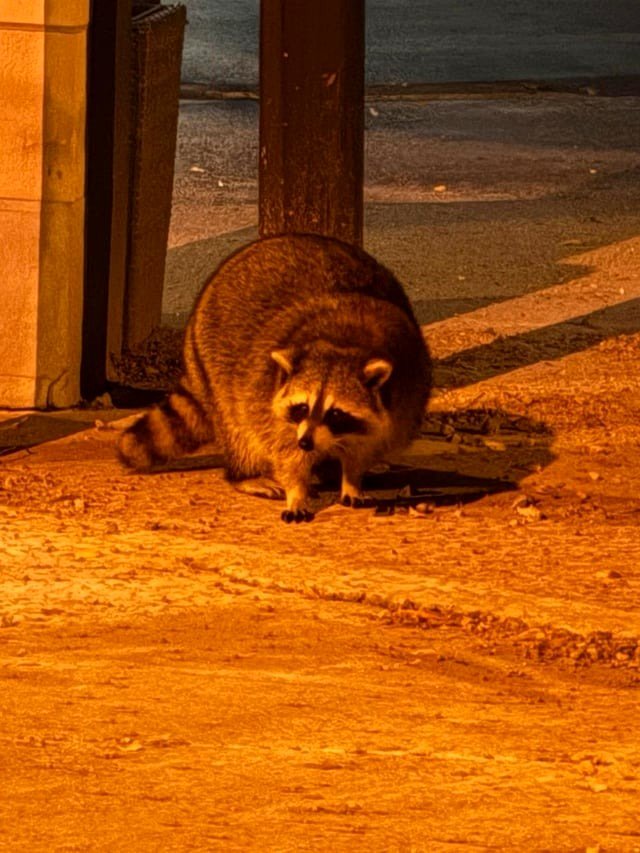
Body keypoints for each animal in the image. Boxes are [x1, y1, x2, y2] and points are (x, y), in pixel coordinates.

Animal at [117, 234, 432, 522]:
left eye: (336, 413)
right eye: (302, 407)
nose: (306, 442)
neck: (344, 343)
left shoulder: (407, 388)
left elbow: (365, 446)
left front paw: (352, 478)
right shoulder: (266, 397)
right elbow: (284, 451)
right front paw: (297, 490)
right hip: (215, 364)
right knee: (239, 429)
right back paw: (245, 474)